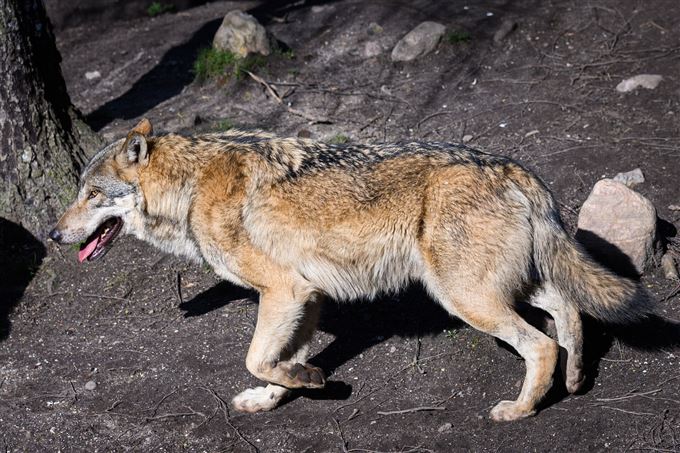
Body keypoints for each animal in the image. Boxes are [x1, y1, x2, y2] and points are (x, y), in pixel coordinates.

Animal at [50, 117, 652, 420]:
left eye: (90, 194)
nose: (54, 236)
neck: (190, 187)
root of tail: (514, 168)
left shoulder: (286, 290)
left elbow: (256, 358)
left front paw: (310, 381)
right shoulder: (306, 298)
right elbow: (276, 362)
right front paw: (281, 393)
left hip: (466, 298)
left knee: (542, 343)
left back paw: (521, 410)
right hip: (506, 286)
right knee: (569, 310)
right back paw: (574, 380)